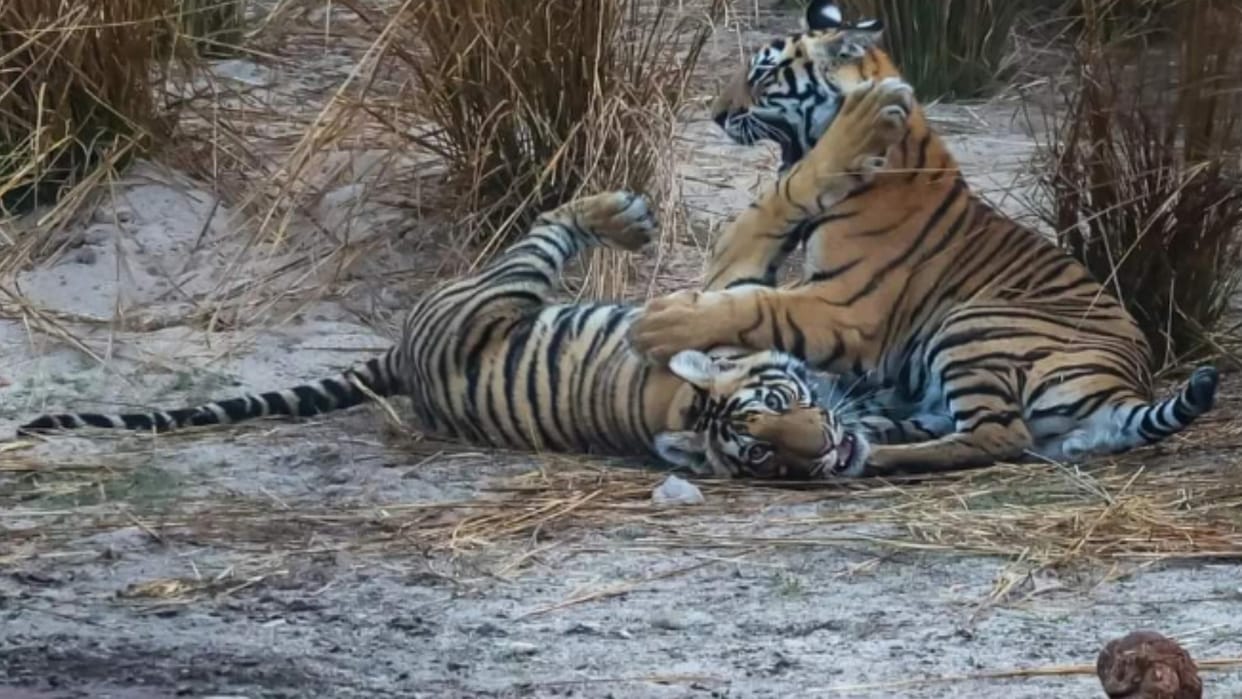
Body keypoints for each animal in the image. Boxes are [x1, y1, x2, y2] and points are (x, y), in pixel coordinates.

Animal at [13, 190, 869, 480]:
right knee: (551, 222)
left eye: (780, 415)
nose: (826, 449)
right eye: (760, 450)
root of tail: (403, 357)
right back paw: (622, 215)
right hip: (504, 286)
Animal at [627, 0, 1219, 476]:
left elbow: (756, 301)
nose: (717, 115)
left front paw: (658, 325)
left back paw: (867, 454)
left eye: (765, 75)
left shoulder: (847, 308)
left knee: (996, 436)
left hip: (975, 324)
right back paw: (872, 431)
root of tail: (1126, 388)